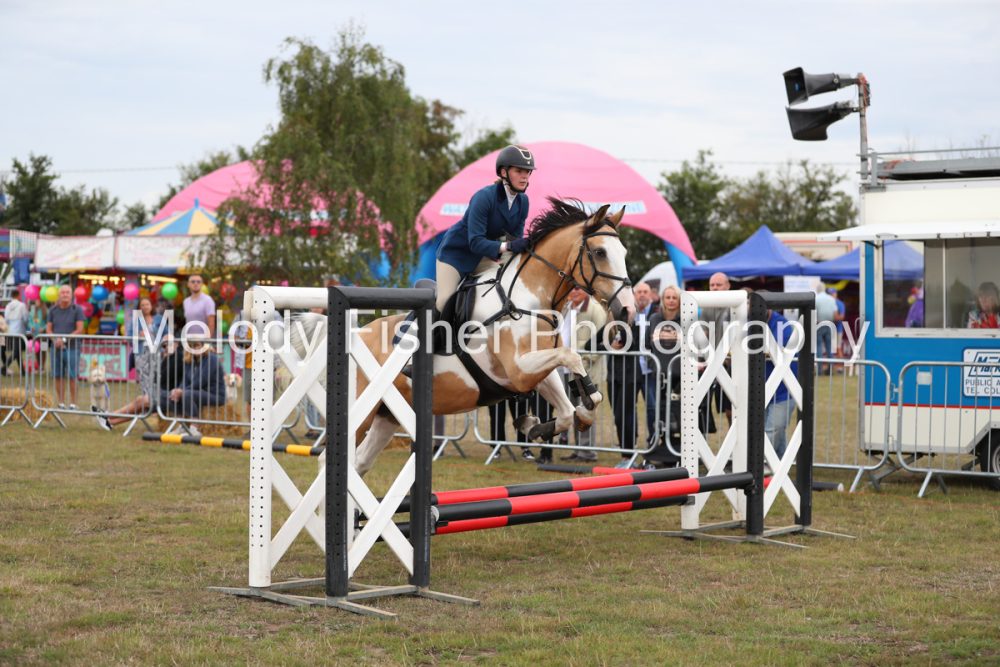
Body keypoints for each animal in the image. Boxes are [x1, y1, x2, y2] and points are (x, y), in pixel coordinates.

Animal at [291, 197, 636, 476]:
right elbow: (571, 356)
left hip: (387, 415)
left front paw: (542, 423)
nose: (628, 310)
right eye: (599, 252)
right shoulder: (520, 370)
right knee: (328, 462)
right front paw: (580, 397)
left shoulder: (535, 373)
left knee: (360, 463)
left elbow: (568, 411)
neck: (525, 300)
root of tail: (355, 333)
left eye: (623, 252)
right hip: (361, 412)